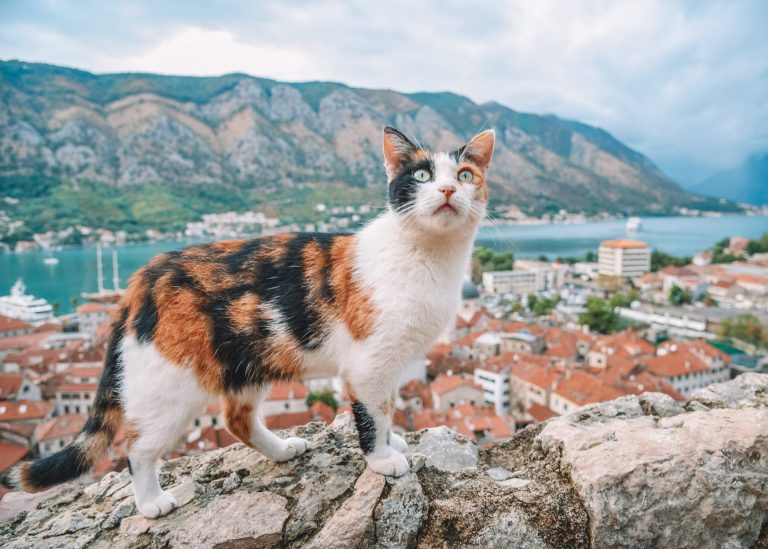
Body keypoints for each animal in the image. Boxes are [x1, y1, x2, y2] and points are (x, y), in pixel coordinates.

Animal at [3, 126, 496, 516]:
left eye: (465, 175)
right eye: (422, 176)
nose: (448, 191)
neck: (429, 256)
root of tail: (142, 278)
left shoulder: (393, 363)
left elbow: (388, 409)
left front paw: (393, 442)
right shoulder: (370, 362)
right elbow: (372, 415)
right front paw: (381, 459)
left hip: (247, 362)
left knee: (235, 420)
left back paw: (280, 450)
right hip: (170, 387)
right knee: (137, 447)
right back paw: (151, 502)